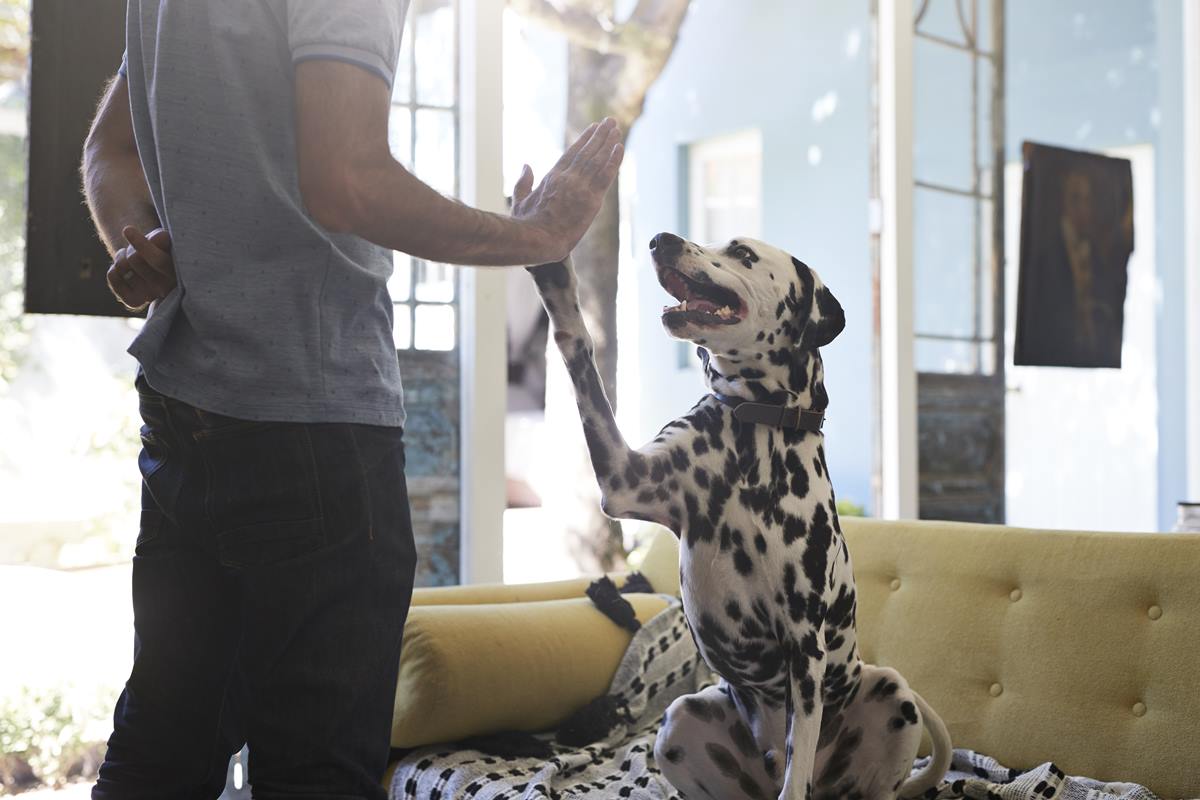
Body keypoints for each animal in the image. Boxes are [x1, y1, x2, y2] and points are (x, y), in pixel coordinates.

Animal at [530, 232, 950, 800]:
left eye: (743, 254)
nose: (660, 240)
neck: (757, 435)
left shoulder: (804, 645)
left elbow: (800, 751)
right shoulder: (625, 479)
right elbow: (581, 351)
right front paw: (555, 279)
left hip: (891, 693)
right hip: (679, 722)